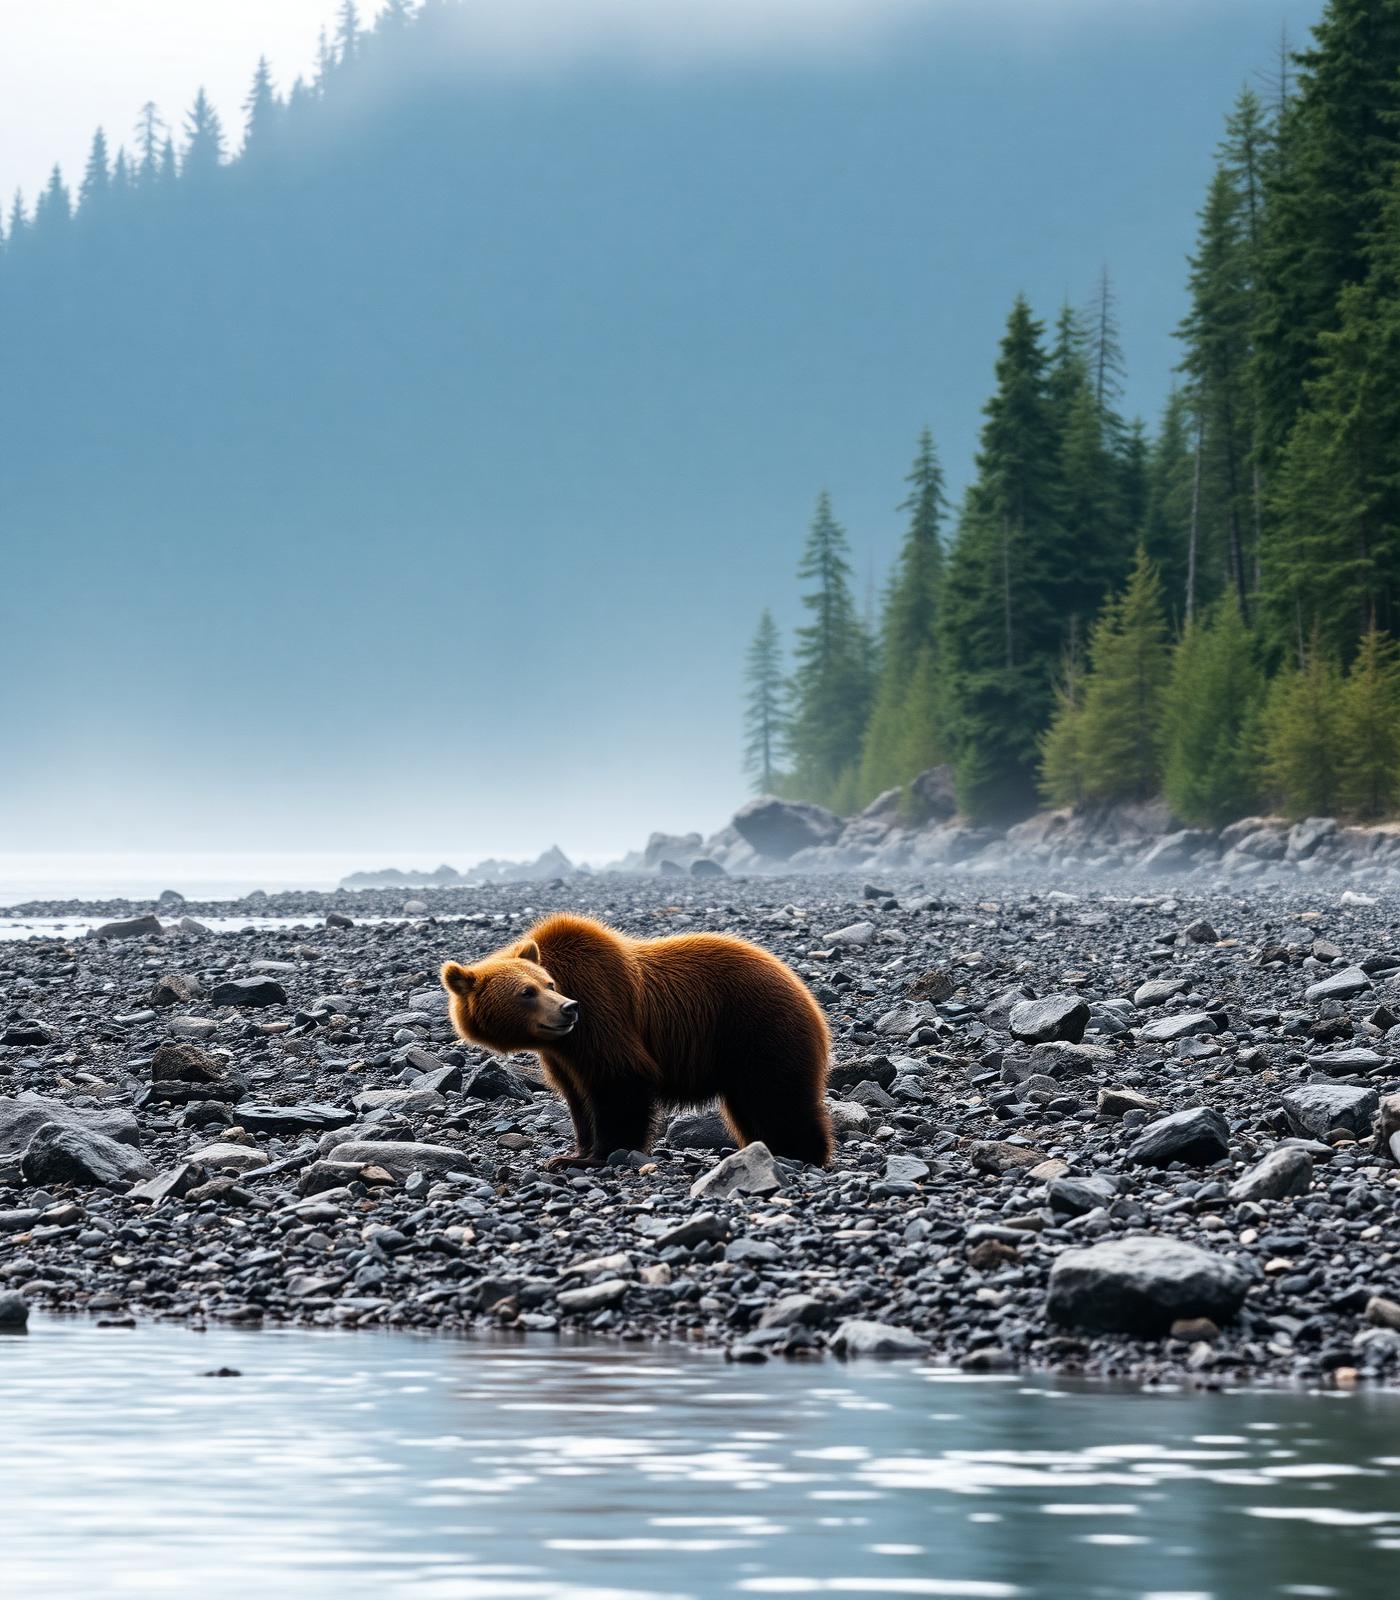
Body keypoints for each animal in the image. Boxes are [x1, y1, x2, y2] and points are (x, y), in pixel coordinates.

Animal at [440, 912, 833, 1168]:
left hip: (758, 1027)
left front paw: (594, 1157)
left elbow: (620, 1078)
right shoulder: (564, 1053)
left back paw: (799, 1153)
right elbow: (578, 1098)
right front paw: (572, 1152)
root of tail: (802, 987)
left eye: (547, 984)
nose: (568, 1009)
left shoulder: (600, 1008)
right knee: (748, 1105)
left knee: (779, 1096)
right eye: (527, 992)